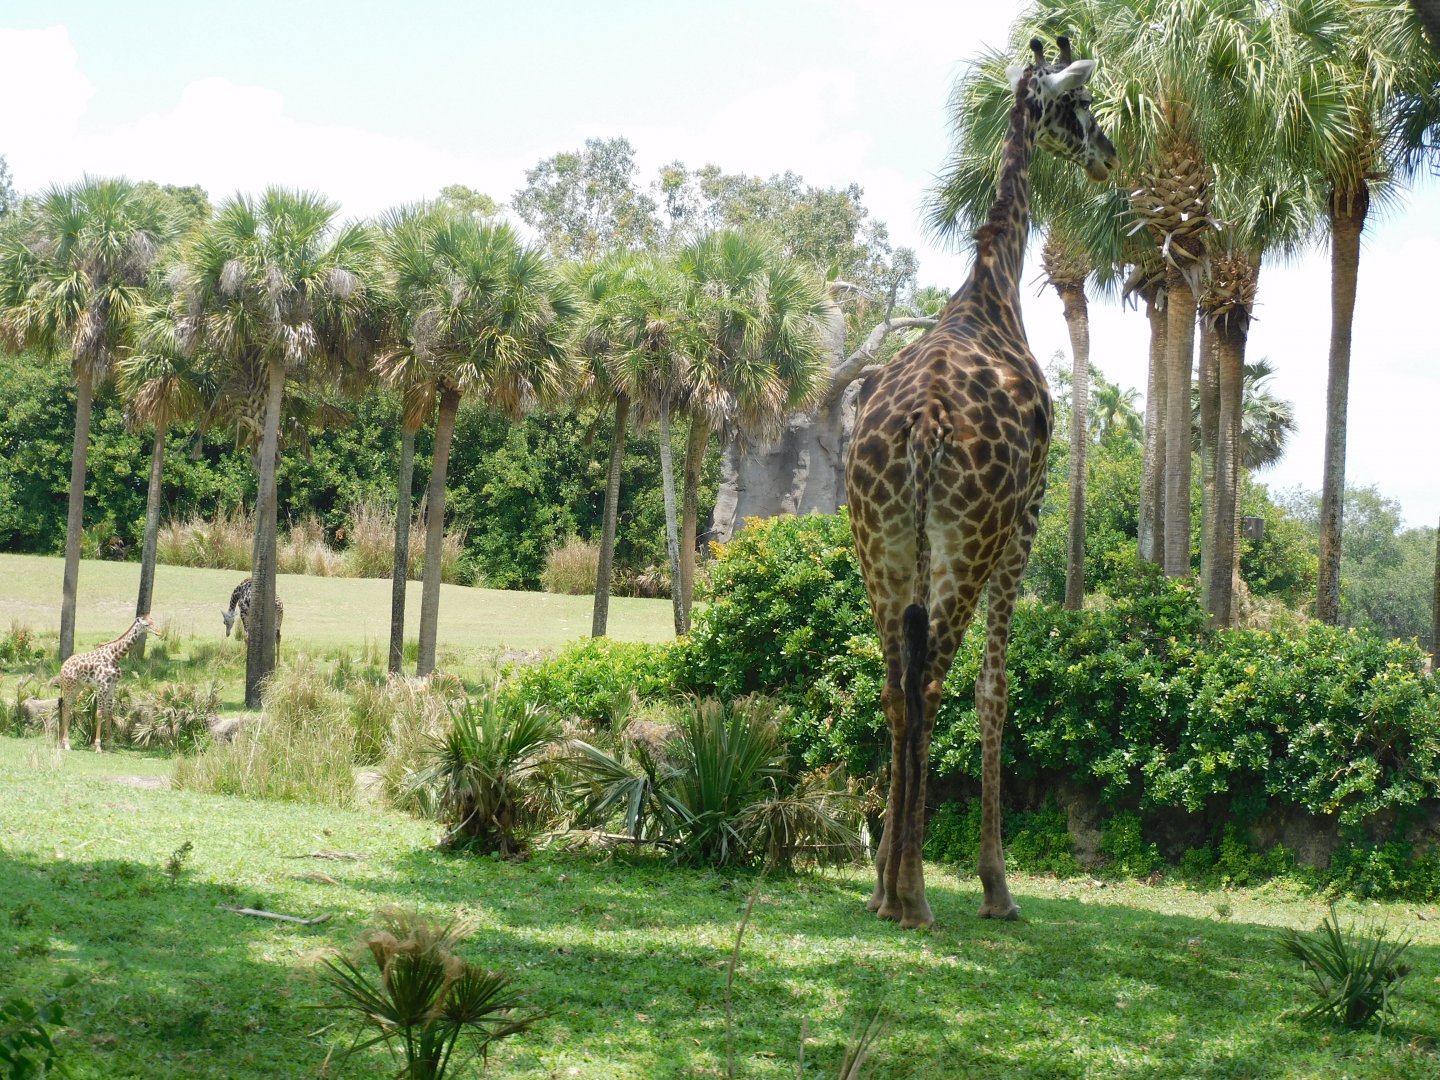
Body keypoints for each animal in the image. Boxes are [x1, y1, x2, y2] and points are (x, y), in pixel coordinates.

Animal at [56, 614, 160, 752]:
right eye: (146, 624)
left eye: (154, 621)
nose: (159, 632)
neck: (116, 656)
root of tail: (62, 667)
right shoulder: (102, 687)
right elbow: (99, 713)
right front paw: (98, 746)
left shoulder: (112, 688)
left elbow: (109, 714)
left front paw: (109, 746)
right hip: (69, 686)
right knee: (66, 708)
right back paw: (66, 744)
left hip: (78, 687)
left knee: (66, 707)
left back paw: (61, 743)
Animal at [845, 37, 1117, 928]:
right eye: (1080, 106)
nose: (1109, 153)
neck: (990, 289)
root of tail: (924, 432)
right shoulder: (1027, 519)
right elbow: (996, 691)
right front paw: (997, 887)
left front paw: (881, 880)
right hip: (969, 538)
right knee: (932, 681)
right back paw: (919, 897)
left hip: (880, 544)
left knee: (895, 686)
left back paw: (888, 890)